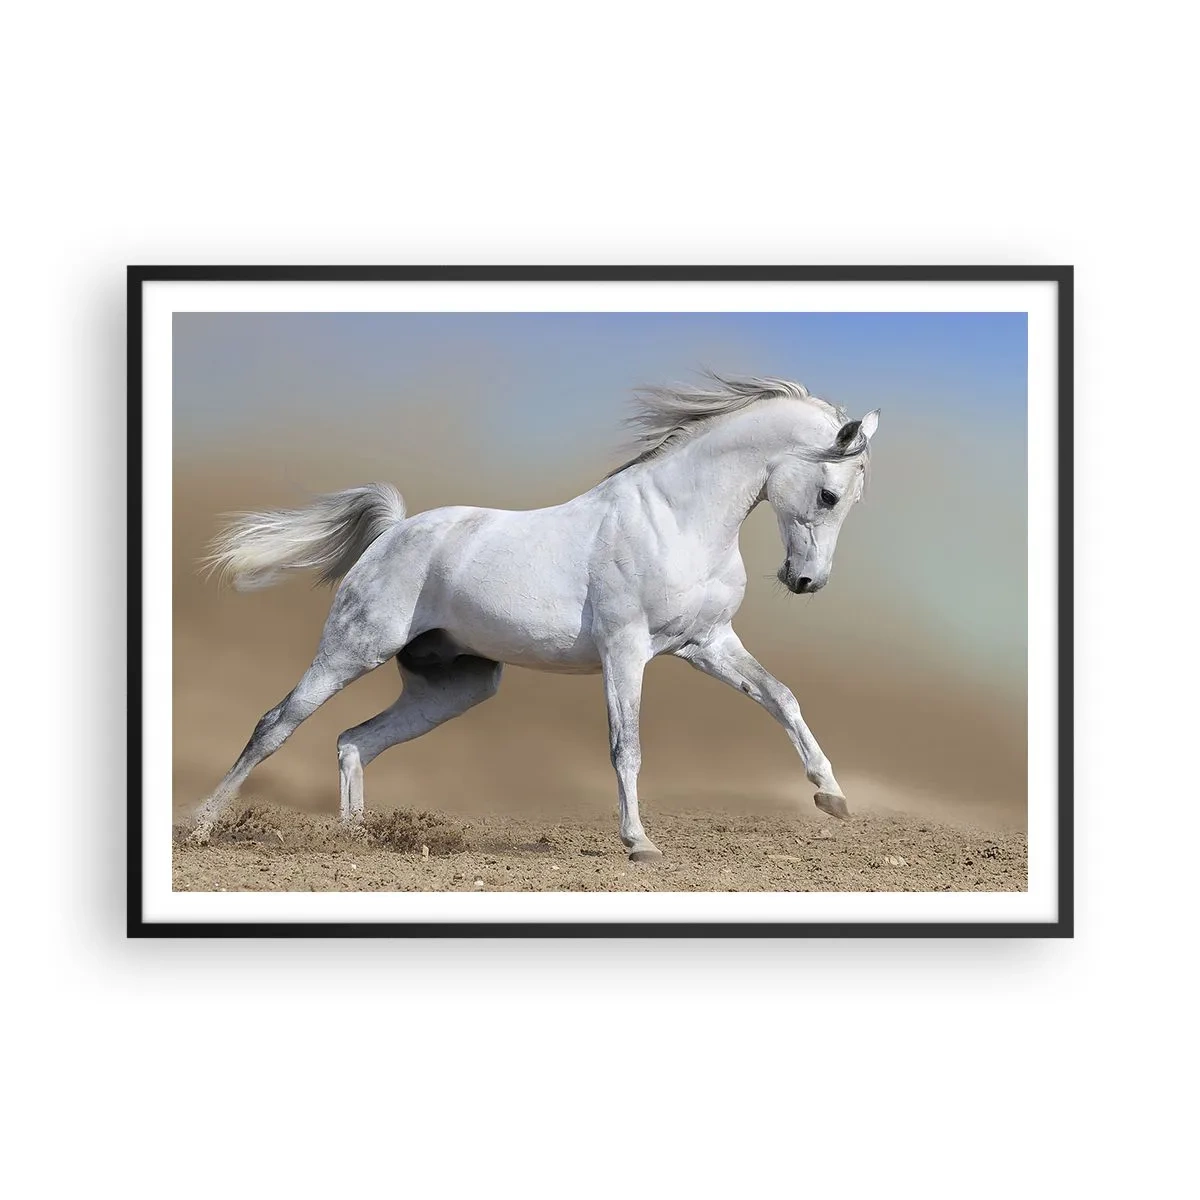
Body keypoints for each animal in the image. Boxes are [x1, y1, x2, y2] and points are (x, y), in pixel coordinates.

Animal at [192, 373, 879, 860]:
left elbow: (781, 698)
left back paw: (354, 839)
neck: (676, 518)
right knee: (275, 725)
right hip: (352, 649)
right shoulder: (625, 650)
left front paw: (832, 797)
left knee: (354, 740)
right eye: (829, 495)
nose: (805, 581)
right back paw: (202, 827)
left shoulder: (707, 643)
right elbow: (626, 745)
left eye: (850, 501)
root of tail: (393, 532)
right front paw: (639, 843)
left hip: (456, 686)